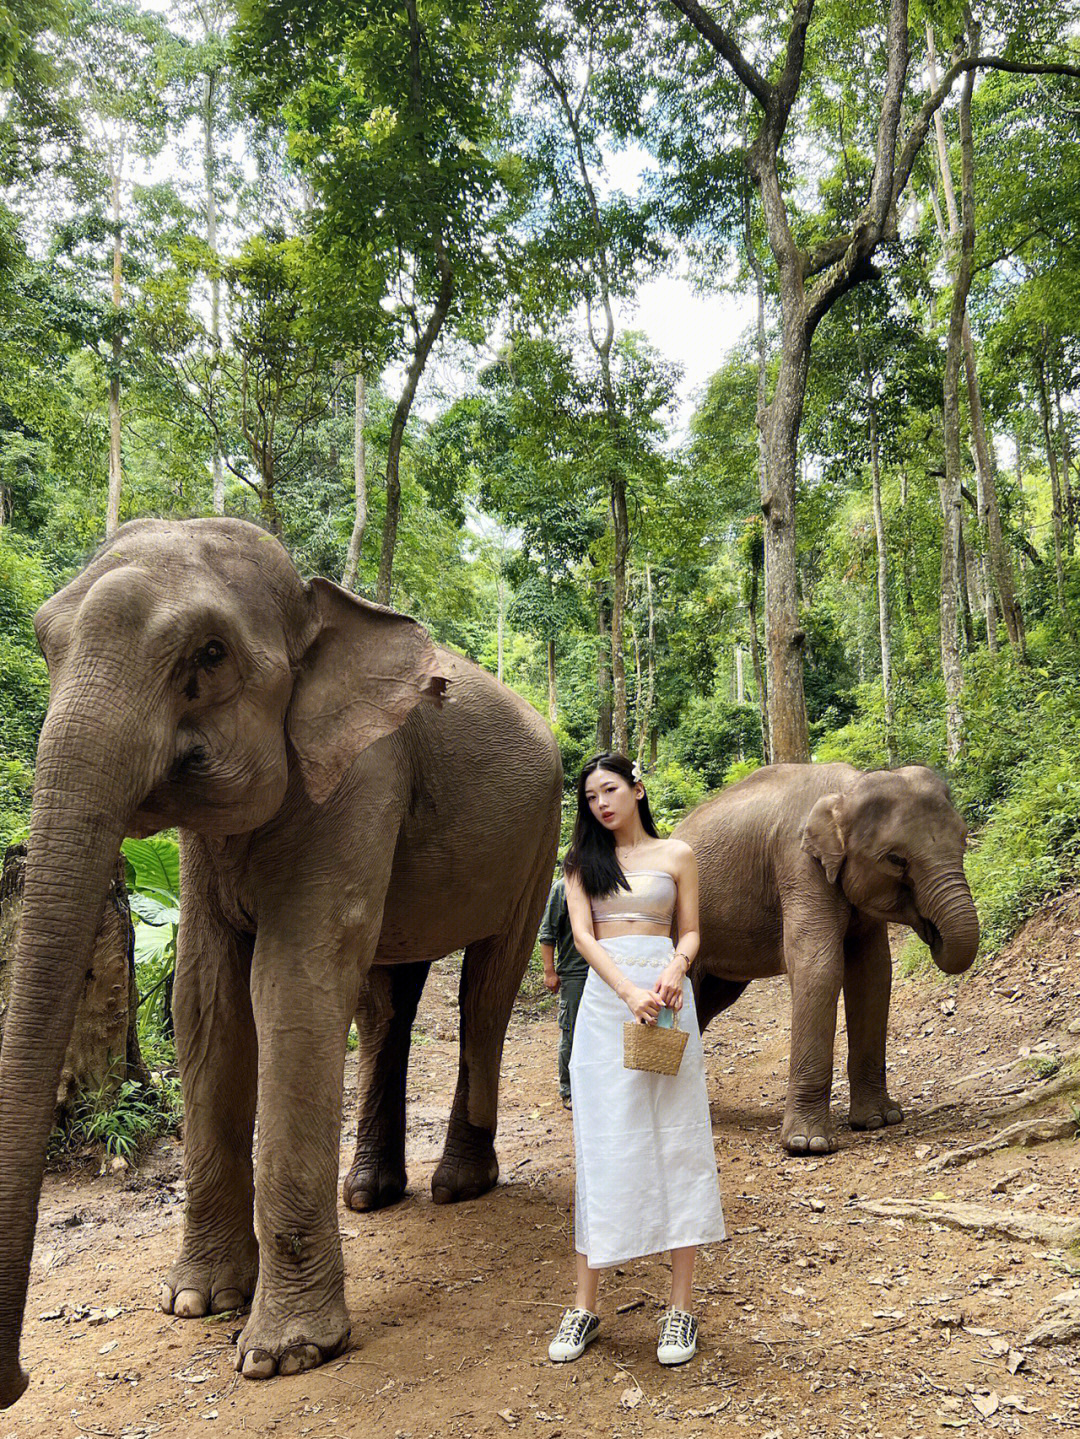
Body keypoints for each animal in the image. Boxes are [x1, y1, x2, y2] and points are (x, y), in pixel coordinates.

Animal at [0, 520, 560, 1404]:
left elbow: (289, 986)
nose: (15, 1381)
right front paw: (195, 1301)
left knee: (486, 988)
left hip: (541, 834)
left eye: (210, 653)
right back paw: (369, 1194)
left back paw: (457, 1185)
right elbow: (207, 998)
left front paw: (283, 1353)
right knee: (387, 1000)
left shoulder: (364, 780)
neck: (312, 599)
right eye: (44, 642)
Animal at [675, 765, 977, 1156]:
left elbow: (873, 975)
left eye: (964, 838)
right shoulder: (798, 864)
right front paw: (808, 1144)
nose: (934, 932)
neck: (848, 789)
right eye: (896, 860)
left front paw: (880, 1120)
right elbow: (820, 970)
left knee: (711, 1000)